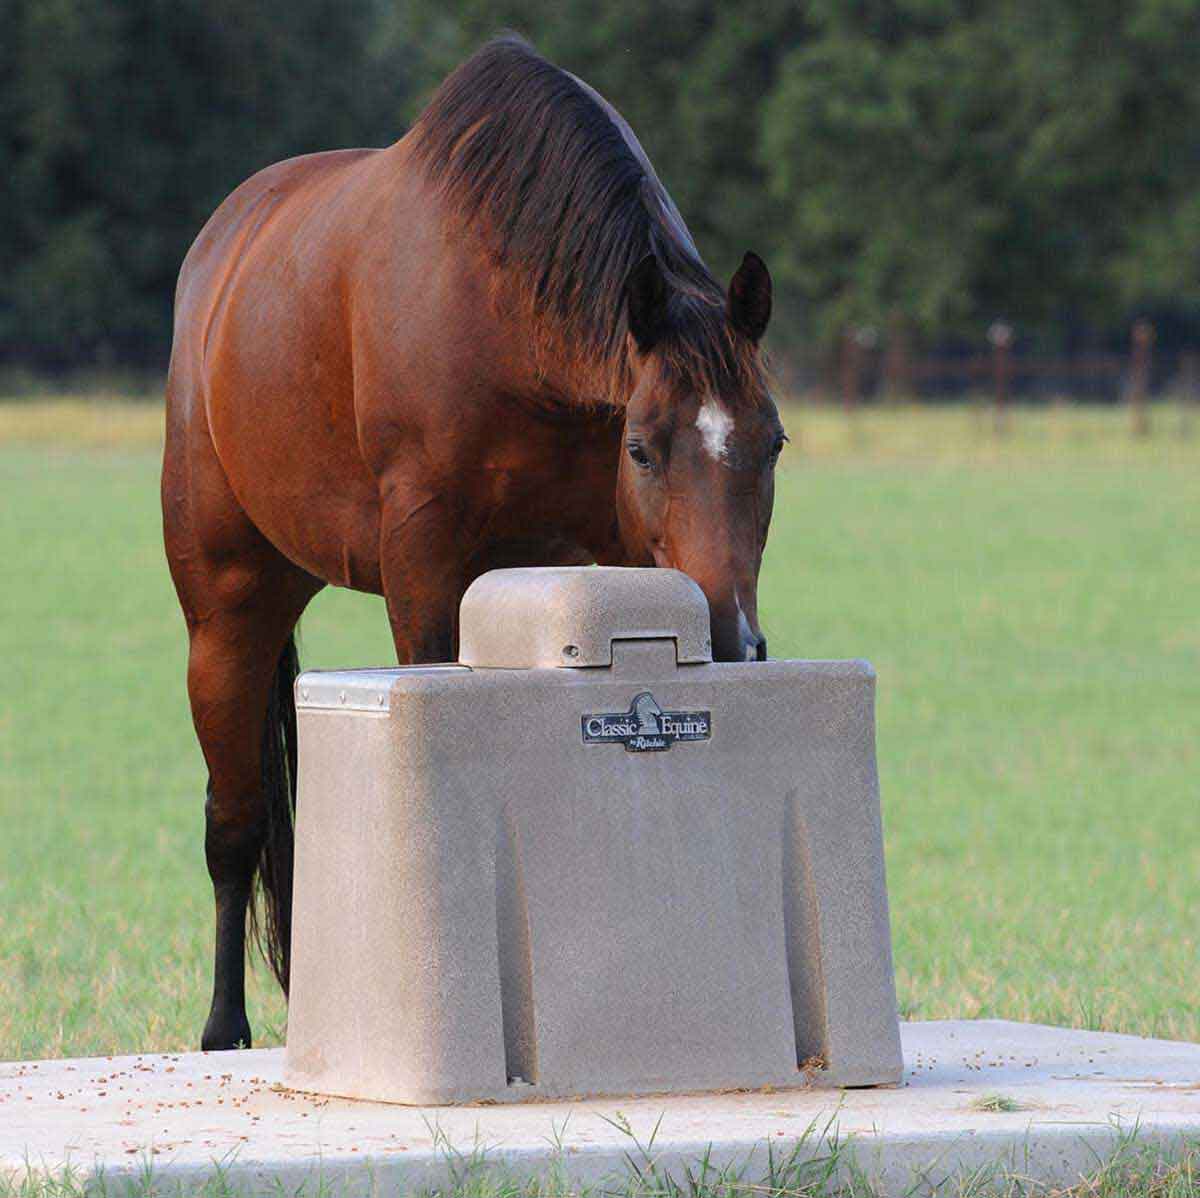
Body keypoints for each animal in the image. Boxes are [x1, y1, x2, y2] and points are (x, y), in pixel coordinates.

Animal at [162, 36, 786, 1052]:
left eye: (772, 443)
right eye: (644, 448)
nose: (734, 639)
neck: (508, 319)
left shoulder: (607, 563)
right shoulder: (424, 571)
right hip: (226, 609)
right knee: (236, 822)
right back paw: (225, 1030)